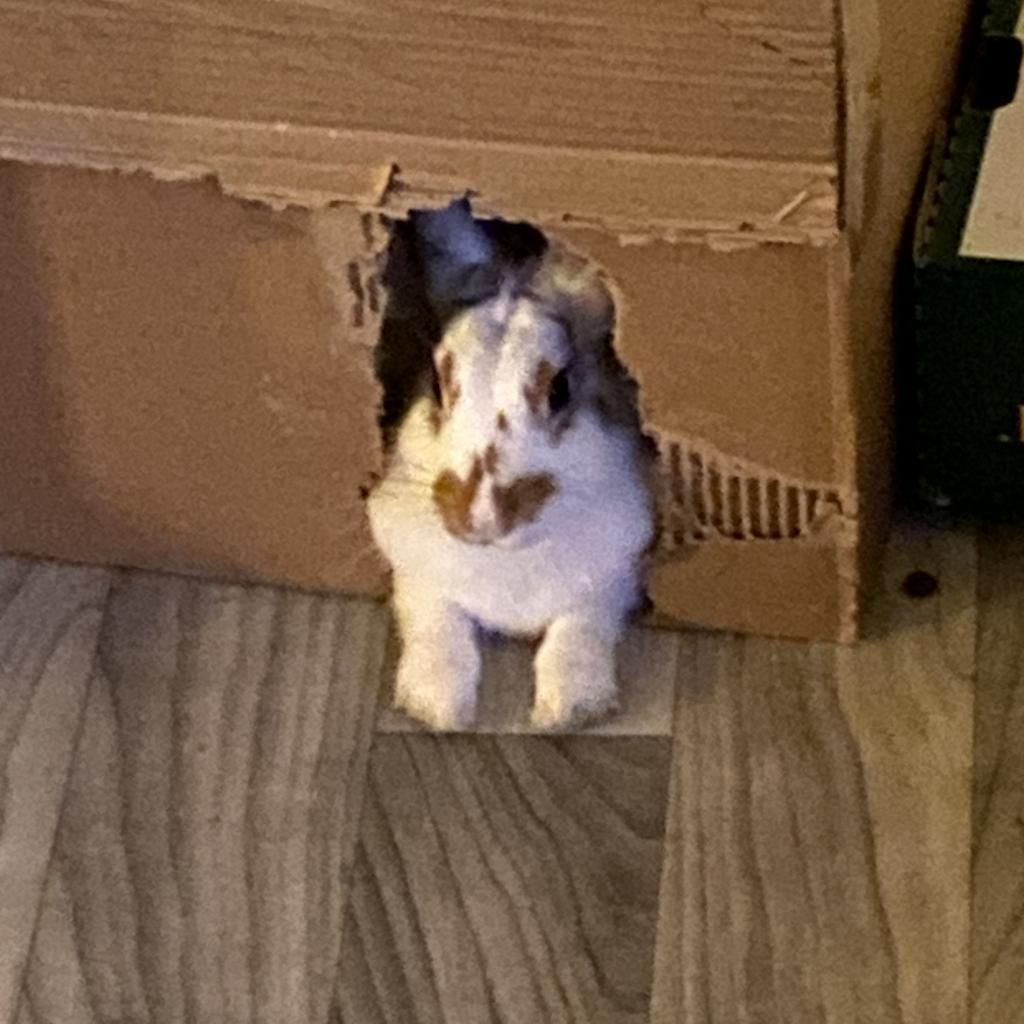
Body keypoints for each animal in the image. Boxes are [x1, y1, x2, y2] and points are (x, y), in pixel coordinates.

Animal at [366, 199, 656, 731]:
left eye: (560, 388)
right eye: (436, 385)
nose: (480, 521)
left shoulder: (616, 570)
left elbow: (581, 625)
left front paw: (569, 708)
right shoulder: (412, 565)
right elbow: (436, 620)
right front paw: (437, 707)